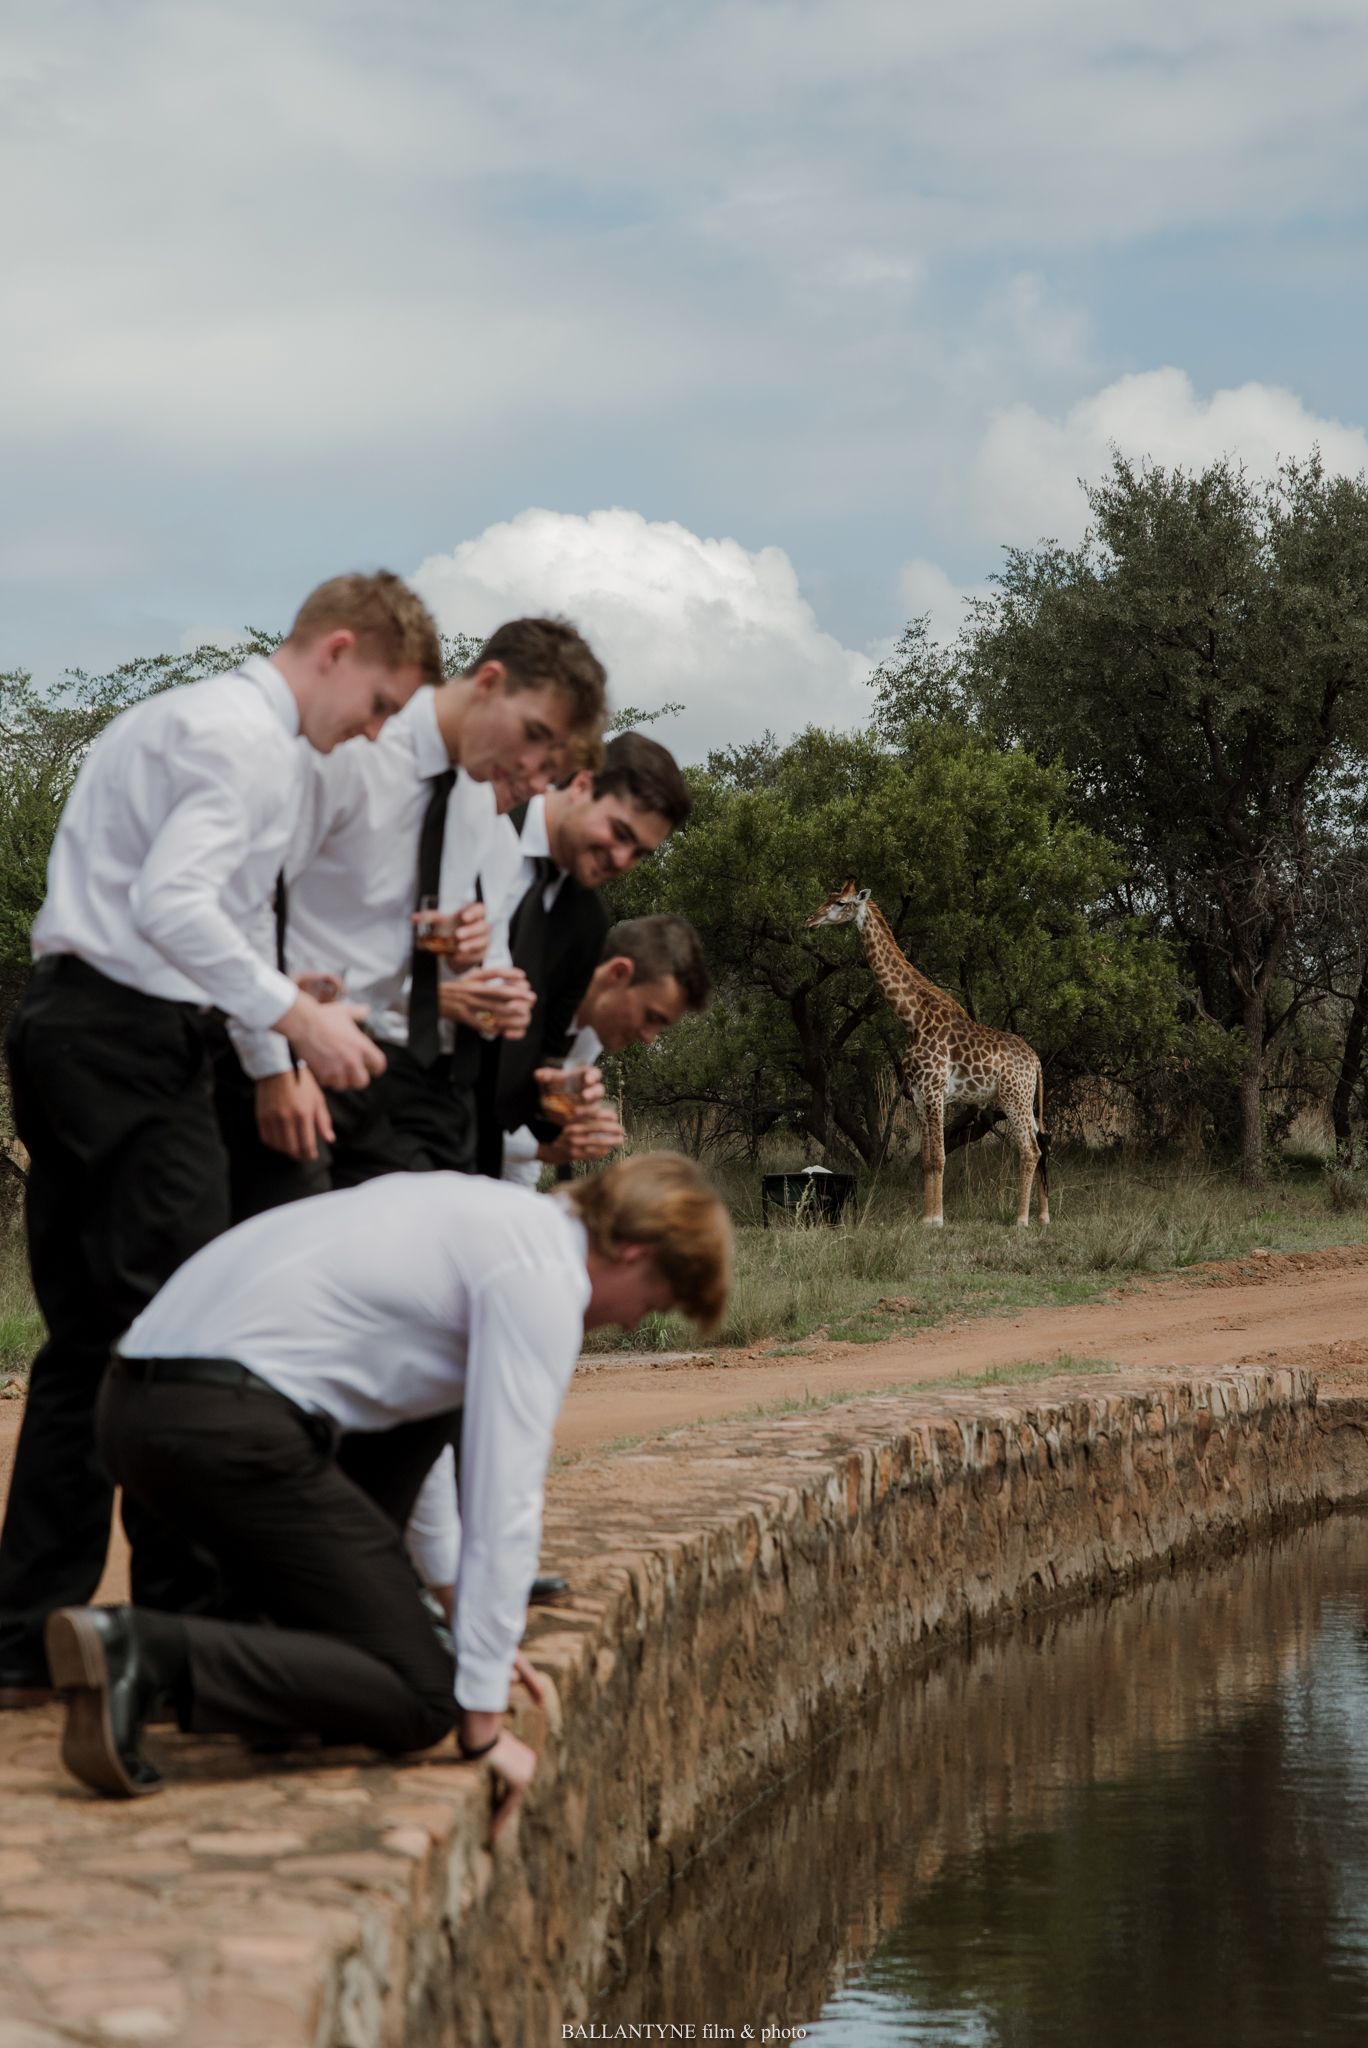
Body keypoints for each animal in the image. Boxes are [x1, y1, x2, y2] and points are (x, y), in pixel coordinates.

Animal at [804, 879, 1050, 1227]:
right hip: (1024, 1100)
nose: (809, 920)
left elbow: (939, 1158)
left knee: (1029, 1149)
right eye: (828, 897)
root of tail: (1036, 1061)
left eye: (840, 902)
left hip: (1013, 1098)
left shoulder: (934, 1090)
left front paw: (937, 1219)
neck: (912, 1017)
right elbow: (926, 1159)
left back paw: (1021, 1220)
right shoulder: (919, 1093)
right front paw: (925, 1218)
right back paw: (1042, 1216)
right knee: (1040, 1145)